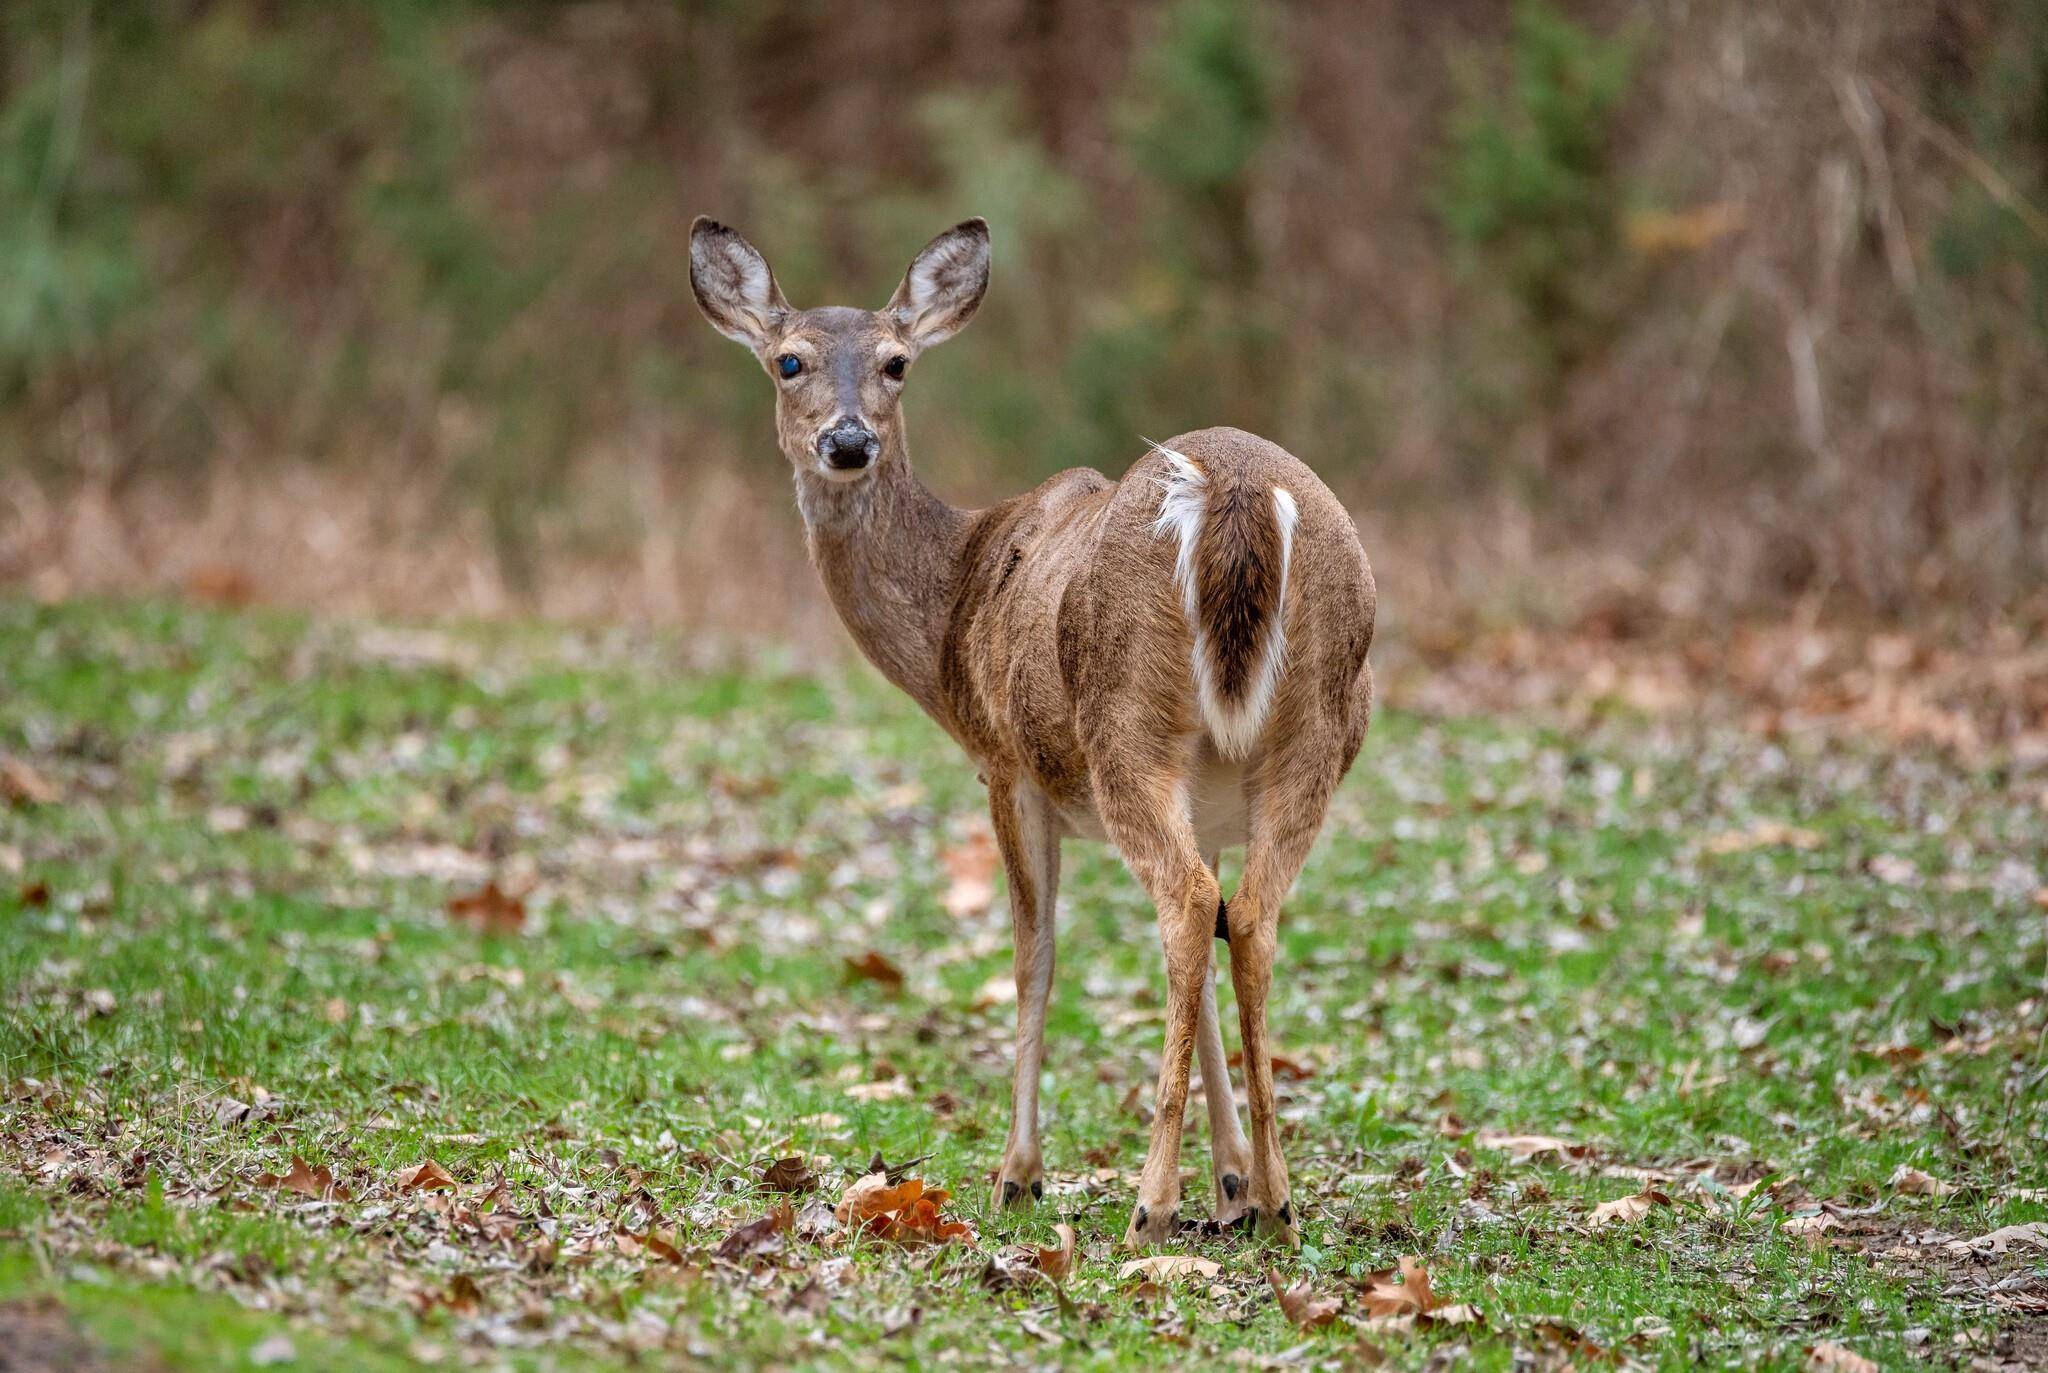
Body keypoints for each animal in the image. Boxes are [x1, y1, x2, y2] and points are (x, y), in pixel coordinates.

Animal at [688, 218, 1376, 1262]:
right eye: (789, 360)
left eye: (896, 362)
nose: (846, 441)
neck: (958, 596)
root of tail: (1240, 494)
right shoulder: (1211, 796)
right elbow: (1213, 970)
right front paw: (1230, 1180)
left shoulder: (1006, 765)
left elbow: (1033, 954)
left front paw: (1020, 1174)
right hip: (1314, 727)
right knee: (1247, 912)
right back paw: (1280, 1199)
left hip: (1124, 718)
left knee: (1184, 905)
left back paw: (1150, 1202)